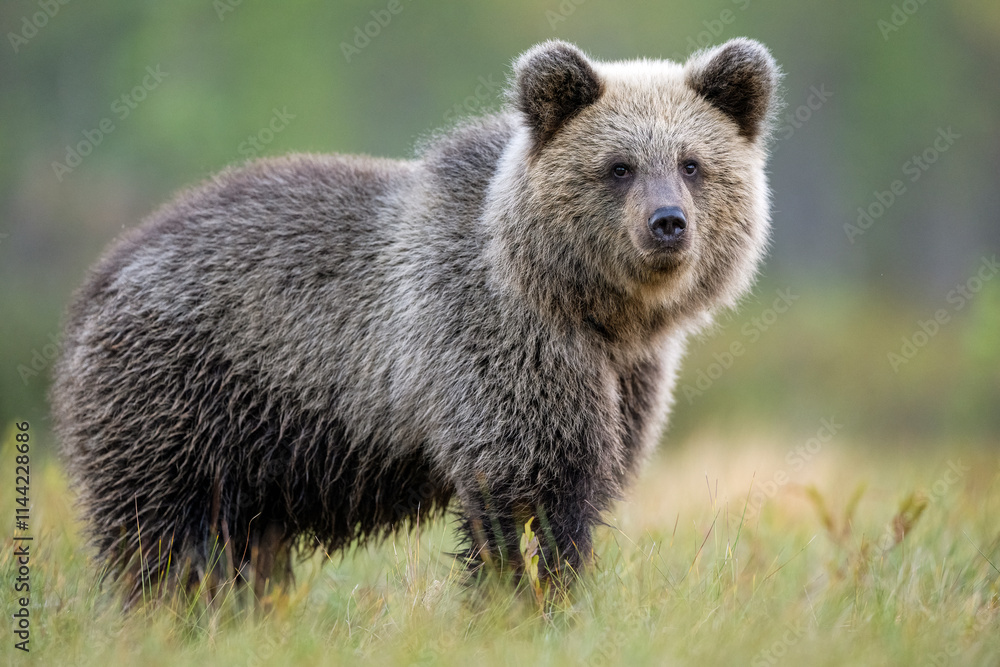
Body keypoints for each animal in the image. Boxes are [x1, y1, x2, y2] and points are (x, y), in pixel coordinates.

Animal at [51, 38, 780, 603]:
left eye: (692, 163)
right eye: (619, 166)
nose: (668, 223)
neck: (589, 310)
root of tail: (98, 280)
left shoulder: (623, 382)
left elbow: (575, 501)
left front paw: (559, 598)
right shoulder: (492, 353)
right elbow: (508, 493)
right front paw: (507, 604)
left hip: (251, 460)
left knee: (244, 550)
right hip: (182, 407)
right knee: (159, 540)